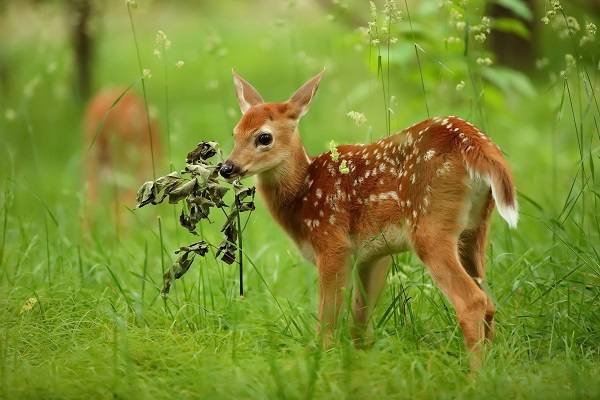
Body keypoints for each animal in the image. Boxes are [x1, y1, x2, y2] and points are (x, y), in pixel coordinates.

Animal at [218, 71, 516, 368]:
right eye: (234, 133)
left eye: (263, 137)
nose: (227, 168)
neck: (303, 193)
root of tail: (475, 143)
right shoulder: (372, 254)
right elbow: (359, 322)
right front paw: (360, 363)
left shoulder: (333, 243)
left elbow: (328, 320)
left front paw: (321, 361)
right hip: (475, 228)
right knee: (489, 301)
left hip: (429, 226)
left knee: (472, 301)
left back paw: (474, 375)